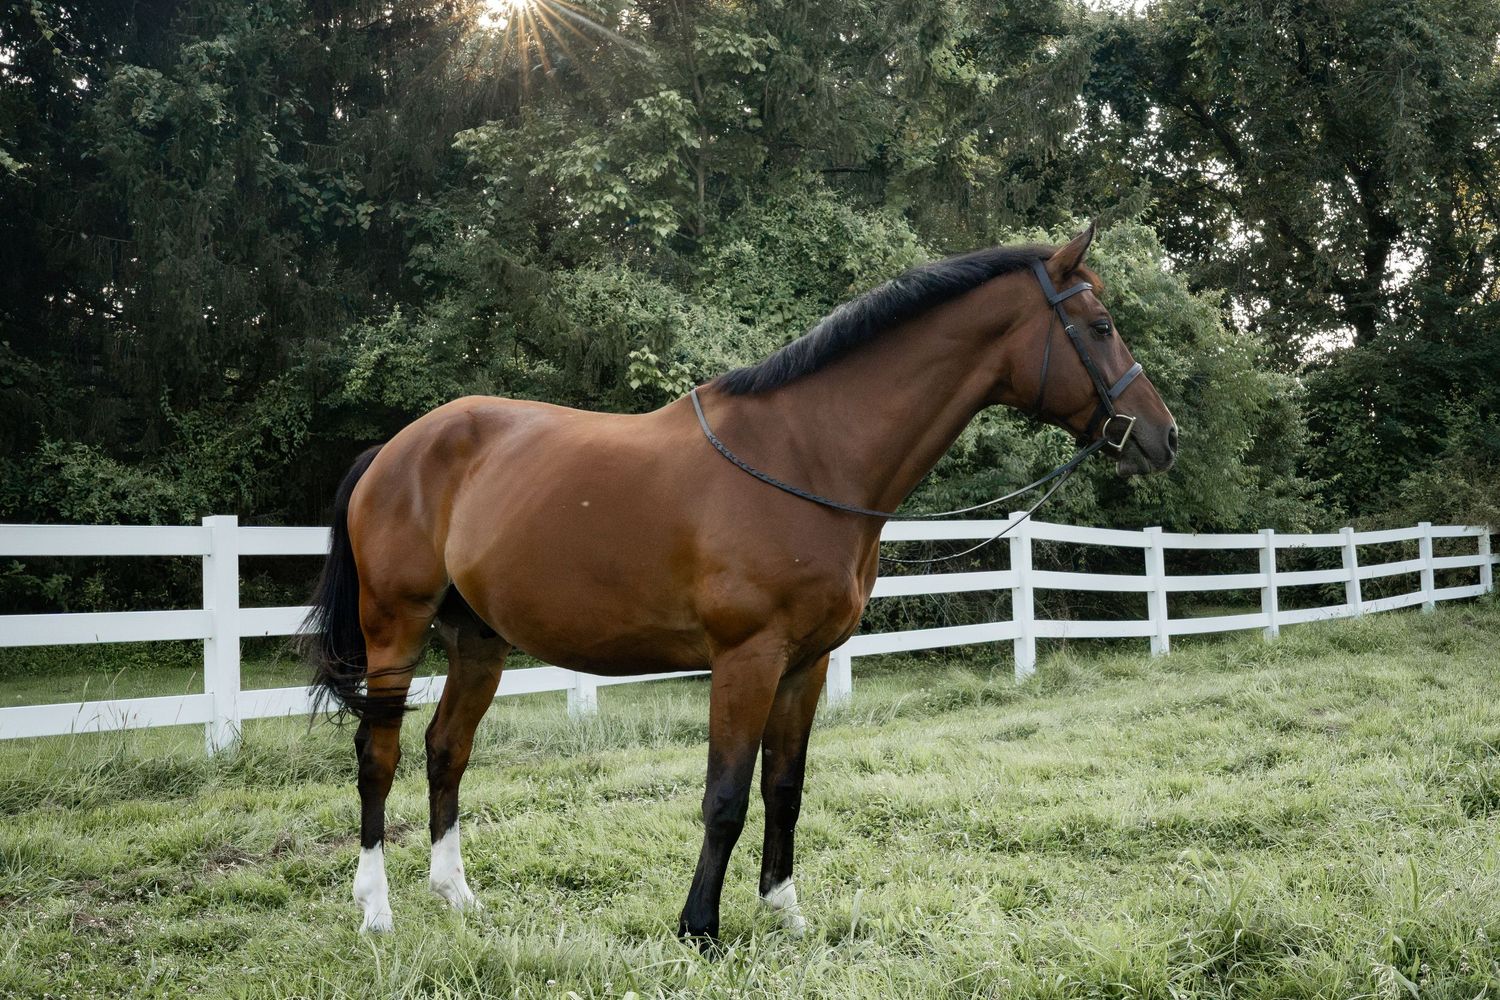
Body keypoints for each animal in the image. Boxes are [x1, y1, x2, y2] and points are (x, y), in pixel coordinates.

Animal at [303, 223, 1177, 942]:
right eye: (1100, 327)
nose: (1162, 437)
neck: (807, 457)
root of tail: (394, 449)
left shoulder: (805, 664)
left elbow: (785, 787)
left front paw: (784, 910)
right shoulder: (746, 659)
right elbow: (725, 796)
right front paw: (700, 928)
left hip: (478, 640)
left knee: (446, 750)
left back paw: (456, 896)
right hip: (394, 626)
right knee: (378, 753)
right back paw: (375, 910)